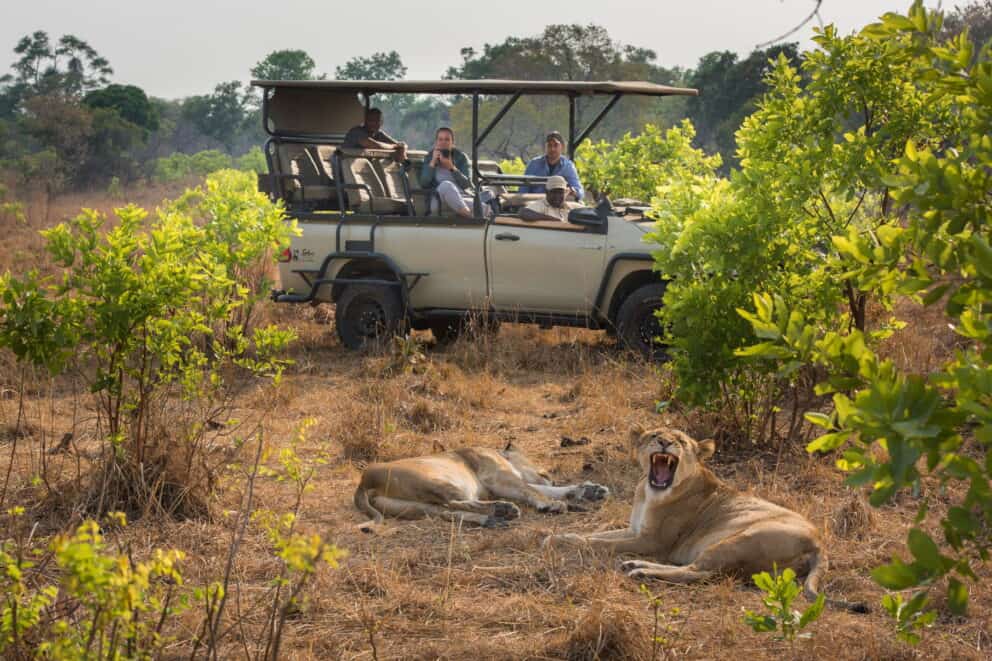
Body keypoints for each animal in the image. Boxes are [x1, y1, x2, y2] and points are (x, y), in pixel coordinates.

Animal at [354, 442, 609, 530]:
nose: (549, 475)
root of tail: (364, 480)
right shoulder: (499, 479)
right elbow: (533, 490)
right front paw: (553, 504)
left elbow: (544, 489)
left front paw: (591, 490)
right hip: (439, 481)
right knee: (455, 502)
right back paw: (502, 510)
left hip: (415, 507)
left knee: (450, 512)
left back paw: (494, 519)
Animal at [548, 426, 867, 611]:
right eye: (654, 435)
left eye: (680, 441)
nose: (664, 442)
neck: (649, 492)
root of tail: (820, 544)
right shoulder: (633, 530)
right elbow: (599, 534)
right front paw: (561, 535)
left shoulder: (652, 542)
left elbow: (600, 544)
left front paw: (555, 540)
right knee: (703, 571)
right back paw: (636, 566)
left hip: (739, 539)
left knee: (699, 572)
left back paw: (641, 570)